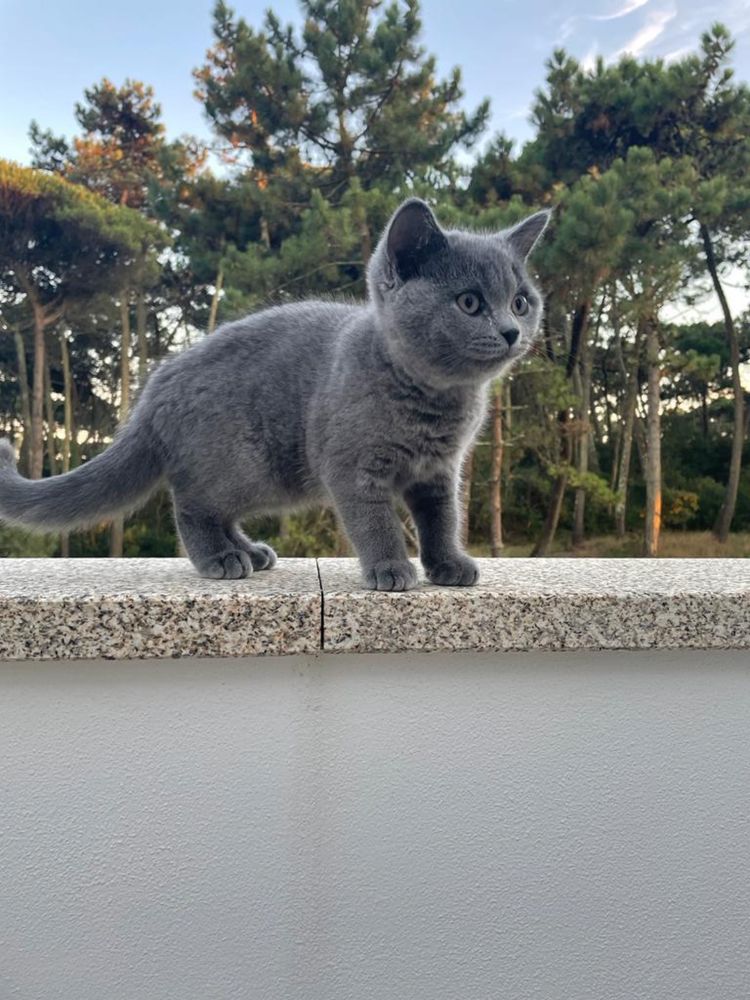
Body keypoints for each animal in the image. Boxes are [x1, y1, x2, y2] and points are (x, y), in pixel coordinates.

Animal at [0, 199, 552, 588]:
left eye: (521, 302)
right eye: (469, 303)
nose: (511, 331)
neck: (438, 399)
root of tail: (157, 386)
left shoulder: (439, 470)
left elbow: (441, 518)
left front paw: (449, 565)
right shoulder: (353, 466)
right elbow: (374, 519)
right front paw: (391, 569)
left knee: (215, 509)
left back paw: (249, 553)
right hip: (245, 464)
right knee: (193, 504)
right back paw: (221, 558)